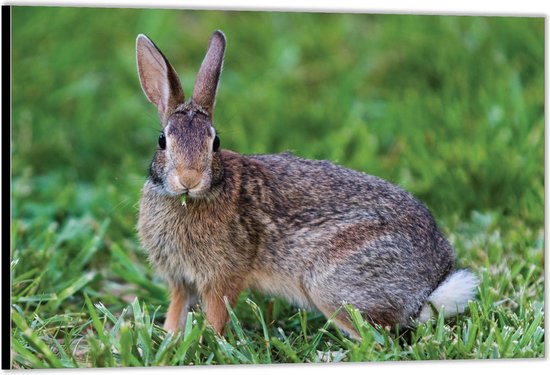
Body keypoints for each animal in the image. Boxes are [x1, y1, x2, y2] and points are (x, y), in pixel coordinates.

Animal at [136, 30, 480, 340]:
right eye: (162, 140)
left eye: (215, 143)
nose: (189, 179)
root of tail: (429, 288)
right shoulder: (180, 281)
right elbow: (177, 310)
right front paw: (170, 338)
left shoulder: (223, 277)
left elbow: (217, 315)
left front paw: (208, 341)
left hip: (330, 286)